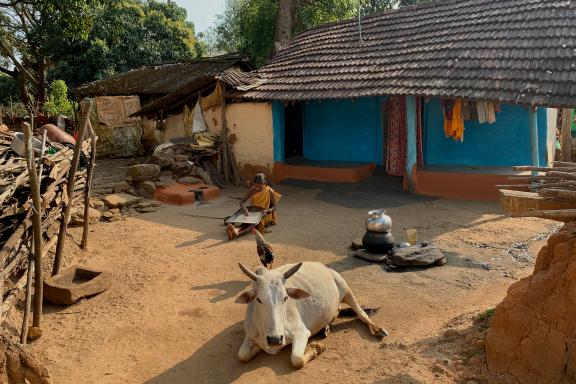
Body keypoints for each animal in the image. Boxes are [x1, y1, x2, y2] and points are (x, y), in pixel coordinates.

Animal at [234, 262, 388, 368]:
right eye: (259, 299)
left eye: (285, 298)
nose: (274, 339)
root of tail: (322, 266)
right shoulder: (250, 334)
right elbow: (242, 355)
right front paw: (258, 348)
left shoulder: (301, 332)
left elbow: (297, 359)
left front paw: (317, 348)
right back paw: (325, 328)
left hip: (346, 289)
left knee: (361, 313)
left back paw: (378, 329)